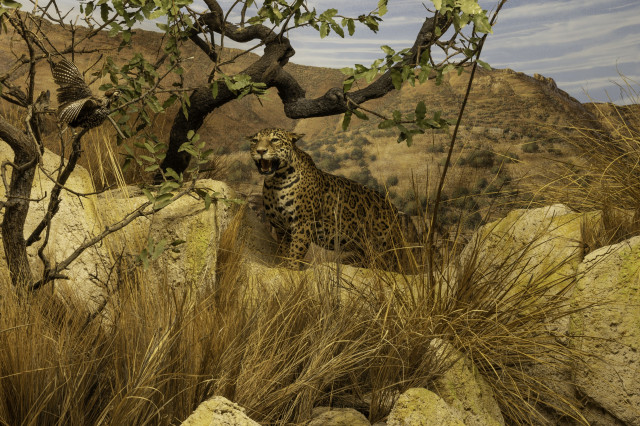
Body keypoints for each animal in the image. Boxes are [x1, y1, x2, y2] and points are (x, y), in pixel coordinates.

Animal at [248, 128, 421, 270]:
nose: (260, 151)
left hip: (387, 244)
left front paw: (291, 268)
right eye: (255, 140)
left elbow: (296, 250)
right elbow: (284, 249)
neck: (276, 181)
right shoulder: (280, 225)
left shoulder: (303, 223)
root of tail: (393, 208)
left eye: (274, 140)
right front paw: (282, 266)